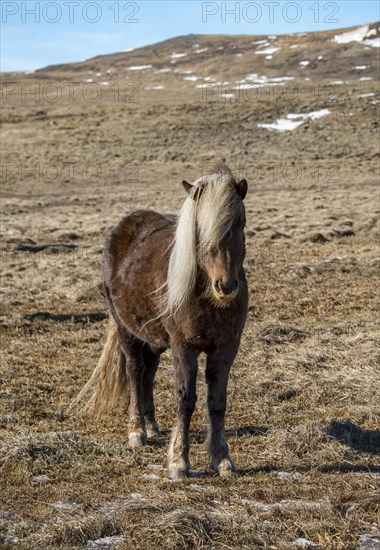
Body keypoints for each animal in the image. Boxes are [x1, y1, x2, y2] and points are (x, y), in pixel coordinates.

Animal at [75, 163, 249, 478]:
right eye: (199, 228)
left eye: (240, 223)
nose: (226, 286)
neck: (206, 298)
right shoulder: (183, 348)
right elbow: (186, 400)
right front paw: (179, 462)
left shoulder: (226, 348)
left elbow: (217, 402)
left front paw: (222, 459)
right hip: (127, 332)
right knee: (135, 372)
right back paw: (137, 431)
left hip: (152, 338)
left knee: (149, 372)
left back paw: (152, 425)